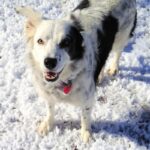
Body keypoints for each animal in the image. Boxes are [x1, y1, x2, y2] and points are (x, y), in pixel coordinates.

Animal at [15, 0, 137, 142]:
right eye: (40, 41)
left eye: (66, 42)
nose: (49, 62)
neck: (65, 79)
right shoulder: (49, 94)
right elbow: (50, 109)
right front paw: (48, 125)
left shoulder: (87, 98)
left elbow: (85, 117)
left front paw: (86, 134)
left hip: (122, 36)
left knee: (118, 51)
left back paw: (113, 68)